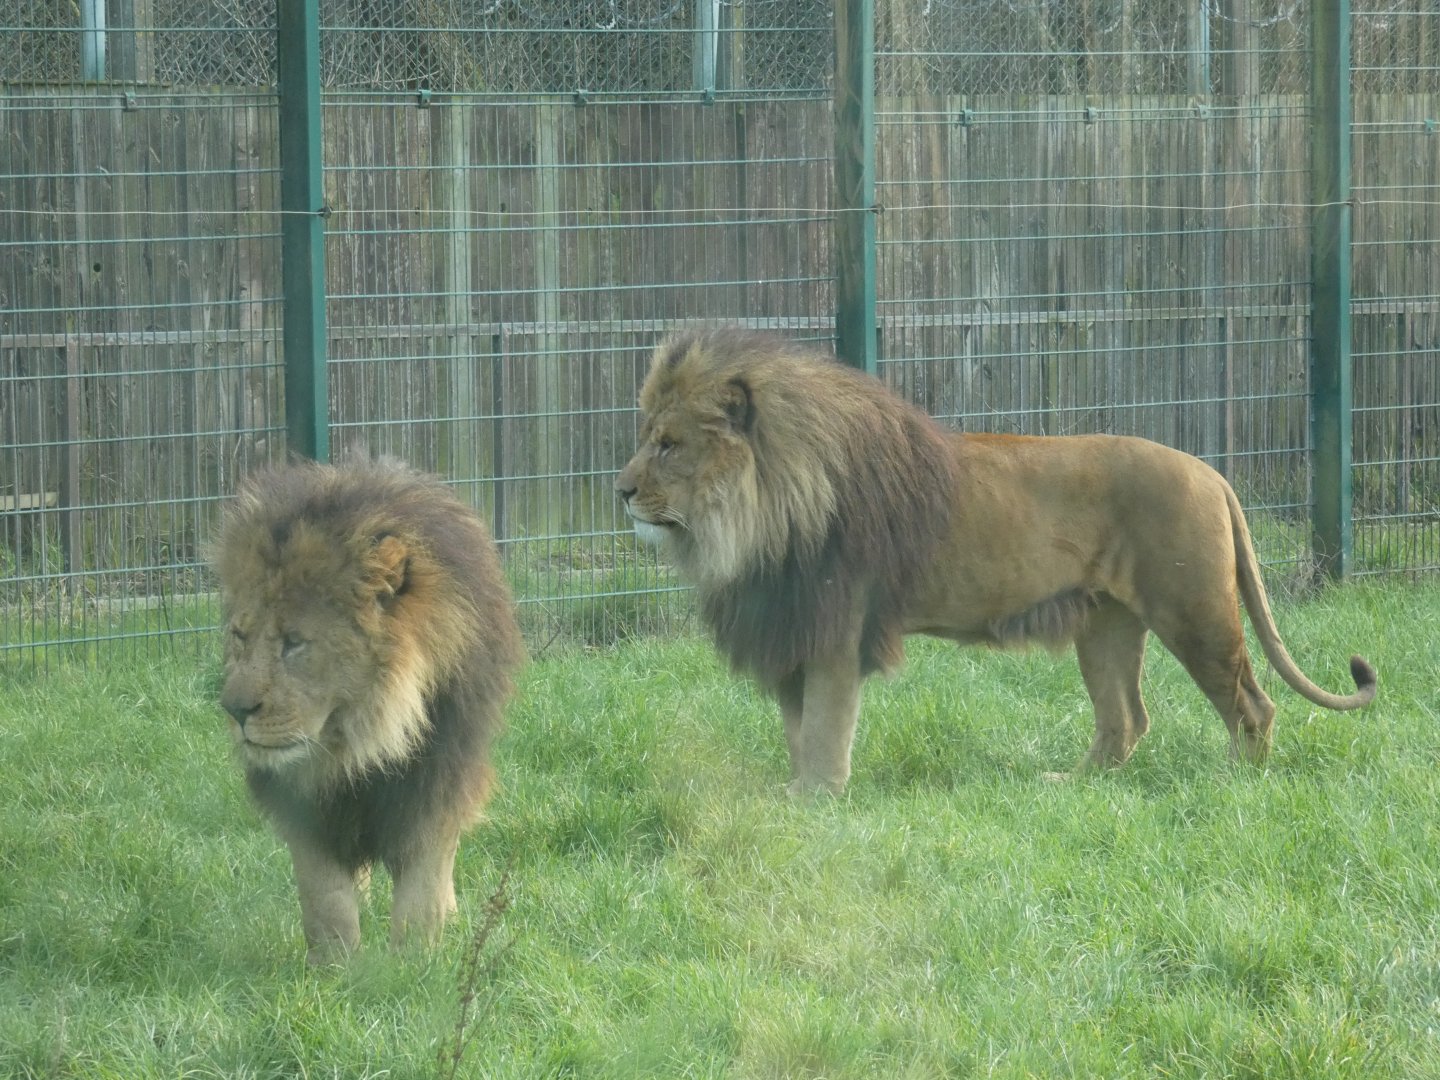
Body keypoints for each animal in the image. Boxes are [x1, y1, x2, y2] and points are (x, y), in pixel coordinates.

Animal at [213, 459, 524, 962]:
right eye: (240, 636)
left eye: (294, 642)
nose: (235, 710)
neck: (360, 737)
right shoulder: (306, 807)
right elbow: (326, 898)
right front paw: (335, 966)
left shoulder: (436, 779)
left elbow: (422, 886)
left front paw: (413, 962)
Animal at [615, 326, 1377, 795]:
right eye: (644, 435)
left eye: (668, 445)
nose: (620, 491)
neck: (754, 512)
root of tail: (1209, 471)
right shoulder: (789, 626)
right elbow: (798, 728)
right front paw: (796, 789)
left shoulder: (834, 627)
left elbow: (827, 725)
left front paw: (818, 797)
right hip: (1106, 625)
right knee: (1125, 719)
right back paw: (1073, 785)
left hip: (1194, 613)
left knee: (1253, 704)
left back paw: (1234, 782)